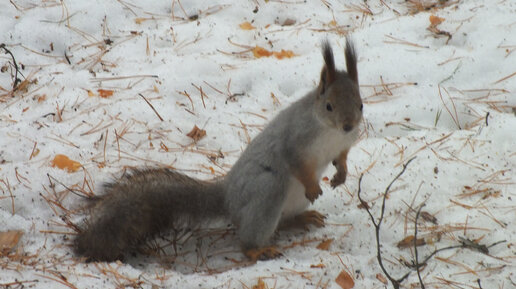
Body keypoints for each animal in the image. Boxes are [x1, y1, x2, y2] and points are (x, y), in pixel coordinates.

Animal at [75, 37, 362, 260]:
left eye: (361, 104)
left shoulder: (344, 145)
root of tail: (228, 197)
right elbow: (296, 162)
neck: (331, 133)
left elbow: (342, 157)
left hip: (290, 201)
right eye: (329, 106)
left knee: (282, 221)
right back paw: (257, 250)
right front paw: (314, 185)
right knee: (248, 237)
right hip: (268, 189)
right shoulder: (294, 139)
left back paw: (302, 219)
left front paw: (341, 174)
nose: (349, 126)